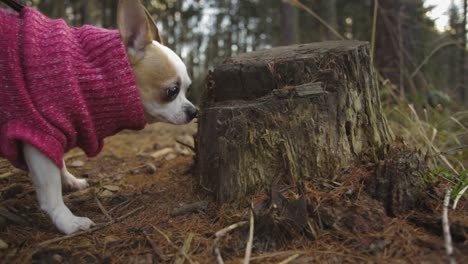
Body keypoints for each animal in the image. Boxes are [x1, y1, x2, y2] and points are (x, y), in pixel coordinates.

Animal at [0, 0, 197, 235]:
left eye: (188, 89)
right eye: (172, 91)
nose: (194, 111)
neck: (85, 74)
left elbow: (59, 161)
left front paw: (69, 180)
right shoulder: (39, 133)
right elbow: (50, 189)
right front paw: (66, 221)